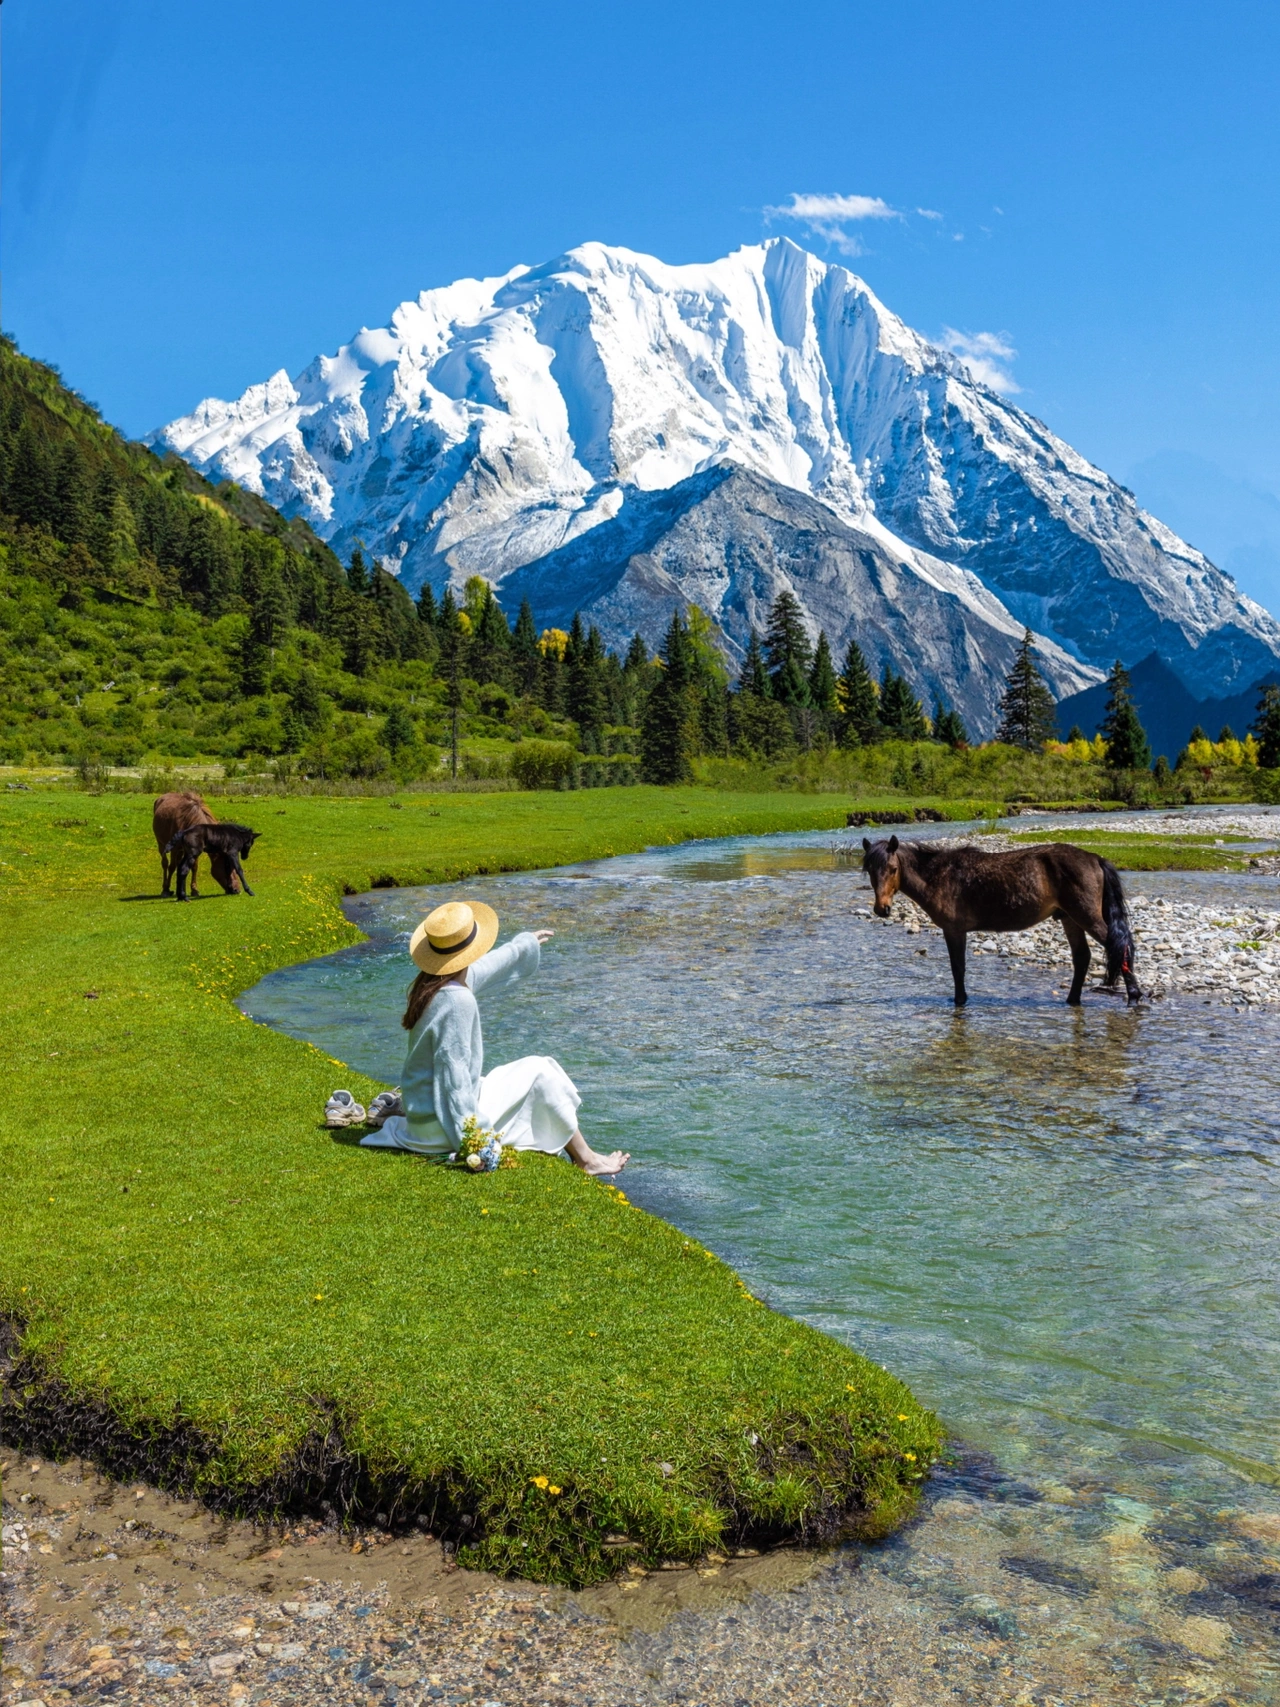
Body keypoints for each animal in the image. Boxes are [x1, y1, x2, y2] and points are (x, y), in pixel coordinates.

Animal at [863, 836, 1140, 1003]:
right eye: (870, 870)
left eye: (893, 869)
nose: (882, 909)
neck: (939, 876)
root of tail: (1094, 858)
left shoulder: (954, 930)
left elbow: (957, 967)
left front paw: (960, 1000)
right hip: (1070, 919)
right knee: (1082, 957)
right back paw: (1073, 1000)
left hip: (1086, 916)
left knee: (1120, 945)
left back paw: (1135, 995)